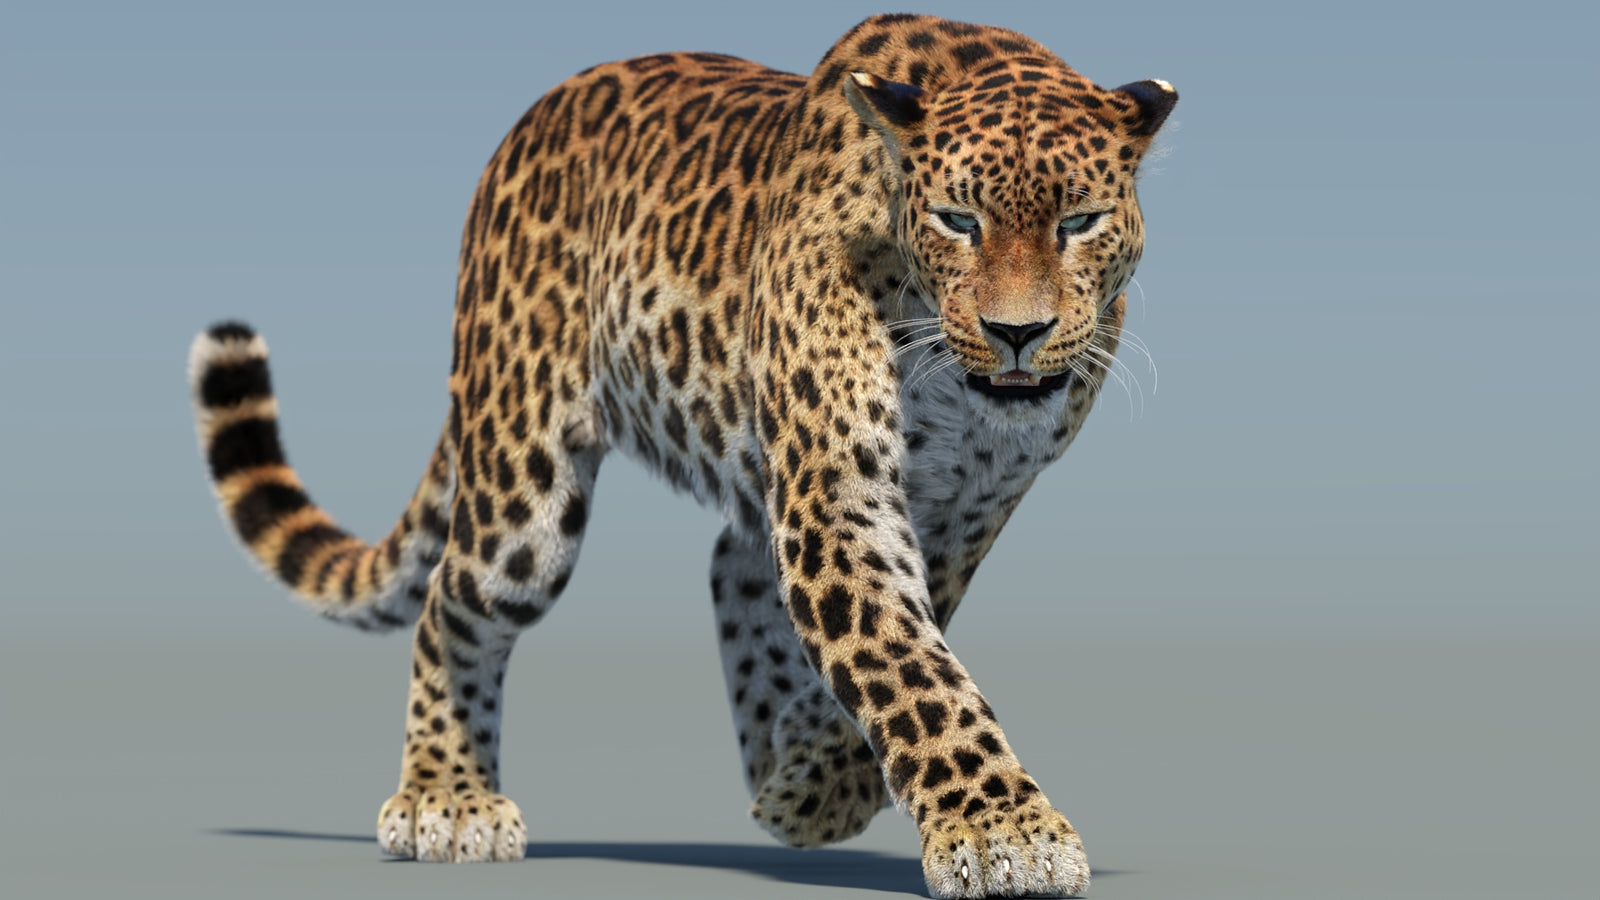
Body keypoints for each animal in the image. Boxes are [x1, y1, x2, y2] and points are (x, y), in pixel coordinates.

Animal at [187, 14, 1175, 898]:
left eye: (1081, 221)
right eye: (956, 219)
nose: (1018, 333)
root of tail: (522, 128)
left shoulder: (960, 513)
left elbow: (898, 651)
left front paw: (818, 786)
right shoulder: (839, 498)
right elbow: (908, 666)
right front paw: (1004, 833)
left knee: (732, 567)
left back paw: (772, 760)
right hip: (524, 494)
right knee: (450, 604)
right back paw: (447, 798)